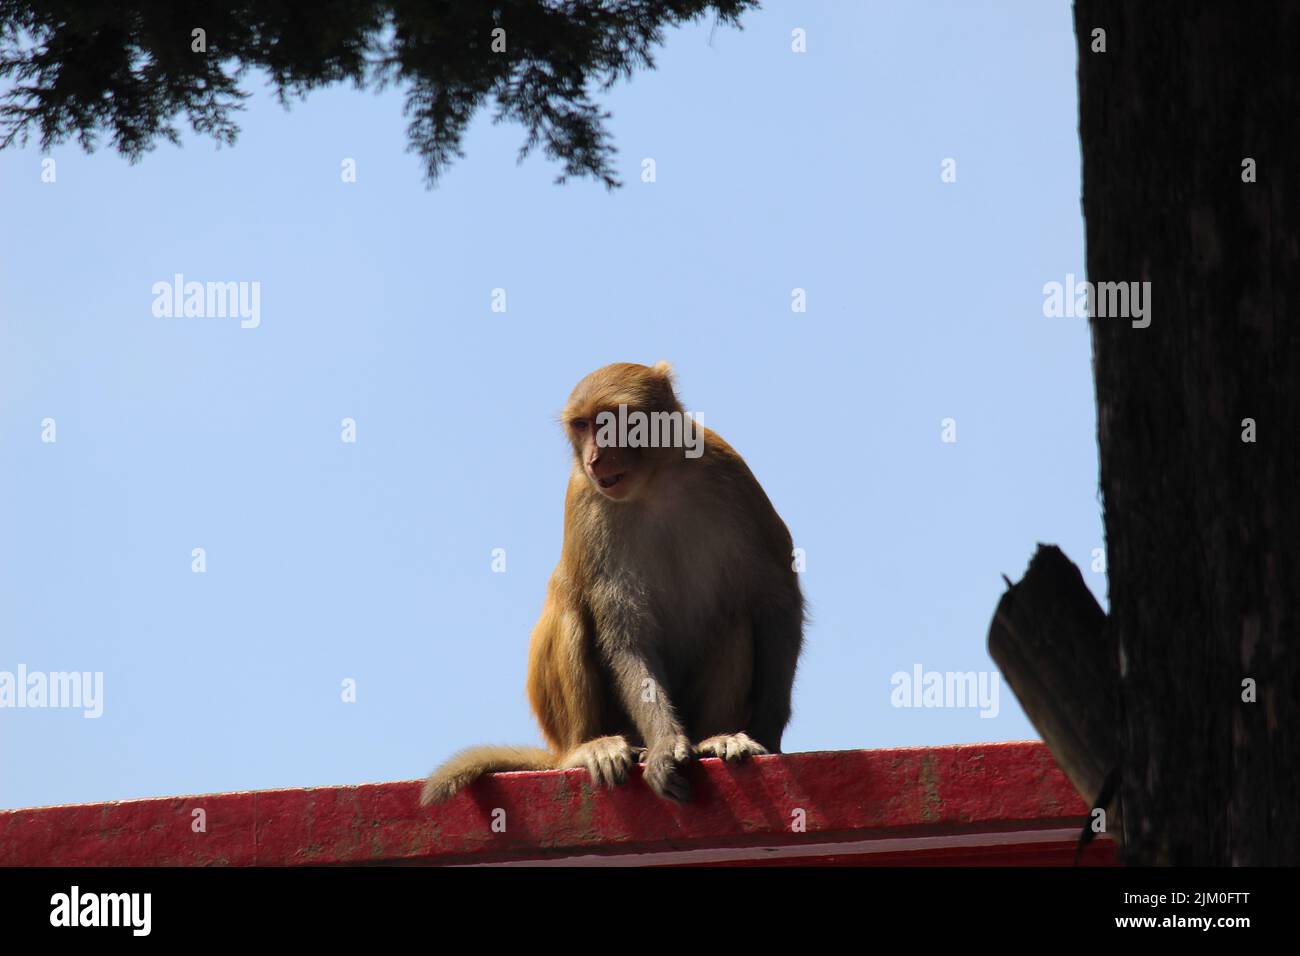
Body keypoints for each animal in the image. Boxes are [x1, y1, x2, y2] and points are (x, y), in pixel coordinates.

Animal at [421, 361, 804, 805]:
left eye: (611, 422)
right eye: (583, 425)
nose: (595, 457)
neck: (655, 481)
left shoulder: (731, 472)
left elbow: (775, 598)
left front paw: (767, 730)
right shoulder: (587, 499)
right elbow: (624, 634)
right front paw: (664, 744)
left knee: (733, 618)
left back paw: (716, 738)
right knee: (571, 611)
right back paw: (588, 748)